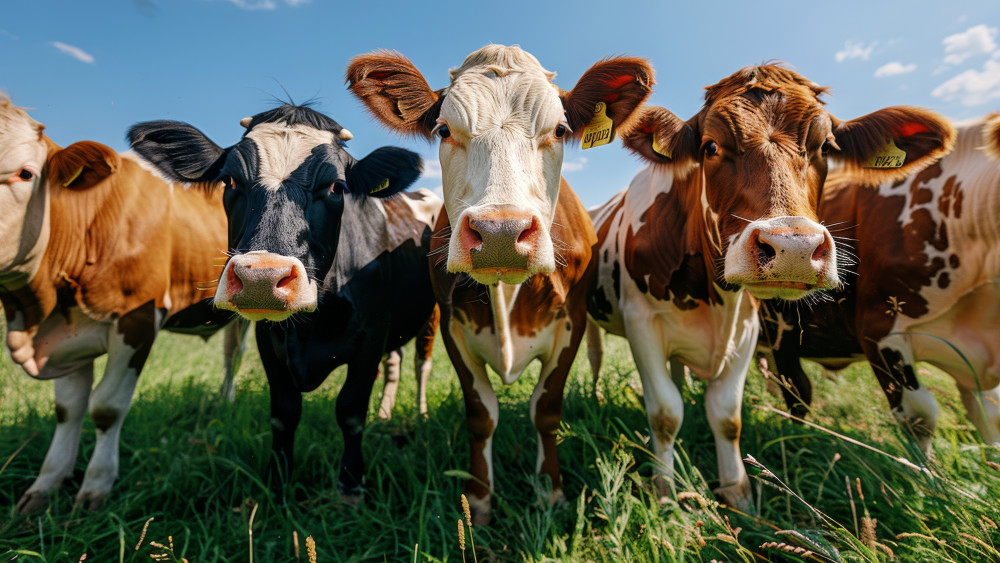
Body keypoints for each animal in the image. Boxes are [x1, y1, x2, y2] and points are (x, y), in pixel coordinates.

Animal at [0, 94, 247, 513]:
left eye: (25, 174)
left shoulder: (138, 319)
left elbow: (106, 407)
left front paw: (95, 489)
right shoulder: (66, 335)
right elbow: (68, 409)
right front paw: (45, 486)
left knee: (237, 352)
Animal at [128, 103, 440, 501]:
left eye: (336, 187)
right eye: (230, 182)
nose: (261, 279)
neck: (312, 328)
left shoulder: (370, 336)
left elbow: (351, 411)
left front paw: (350, 485)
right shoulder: (269, 340)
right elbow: (284, 413)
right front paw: (277, 485)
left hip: (433, 313)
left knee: (421, 365)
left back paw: (421, 414)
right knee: (396, 363)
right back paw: (385, 414)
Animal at [347, 44, 654, 523]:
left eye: (560, 129)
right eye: (443, 129)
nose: (500, 233)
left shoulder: (572, 323)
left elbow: (546, 409)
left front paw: (550, 493)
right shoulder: (452, 326)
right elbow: (481, 414)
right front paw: (478, 499)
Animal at [586, 65, 956, 509]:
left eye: (825, 147)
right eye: (710, 147)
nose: (793, 247)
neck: (712, 297)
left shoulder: (746, 329)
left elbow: (726, 415)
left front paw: (739, 494)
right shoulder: (642, 322)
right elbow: (665, 414)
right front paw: (666, 493)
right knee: (594, 356)